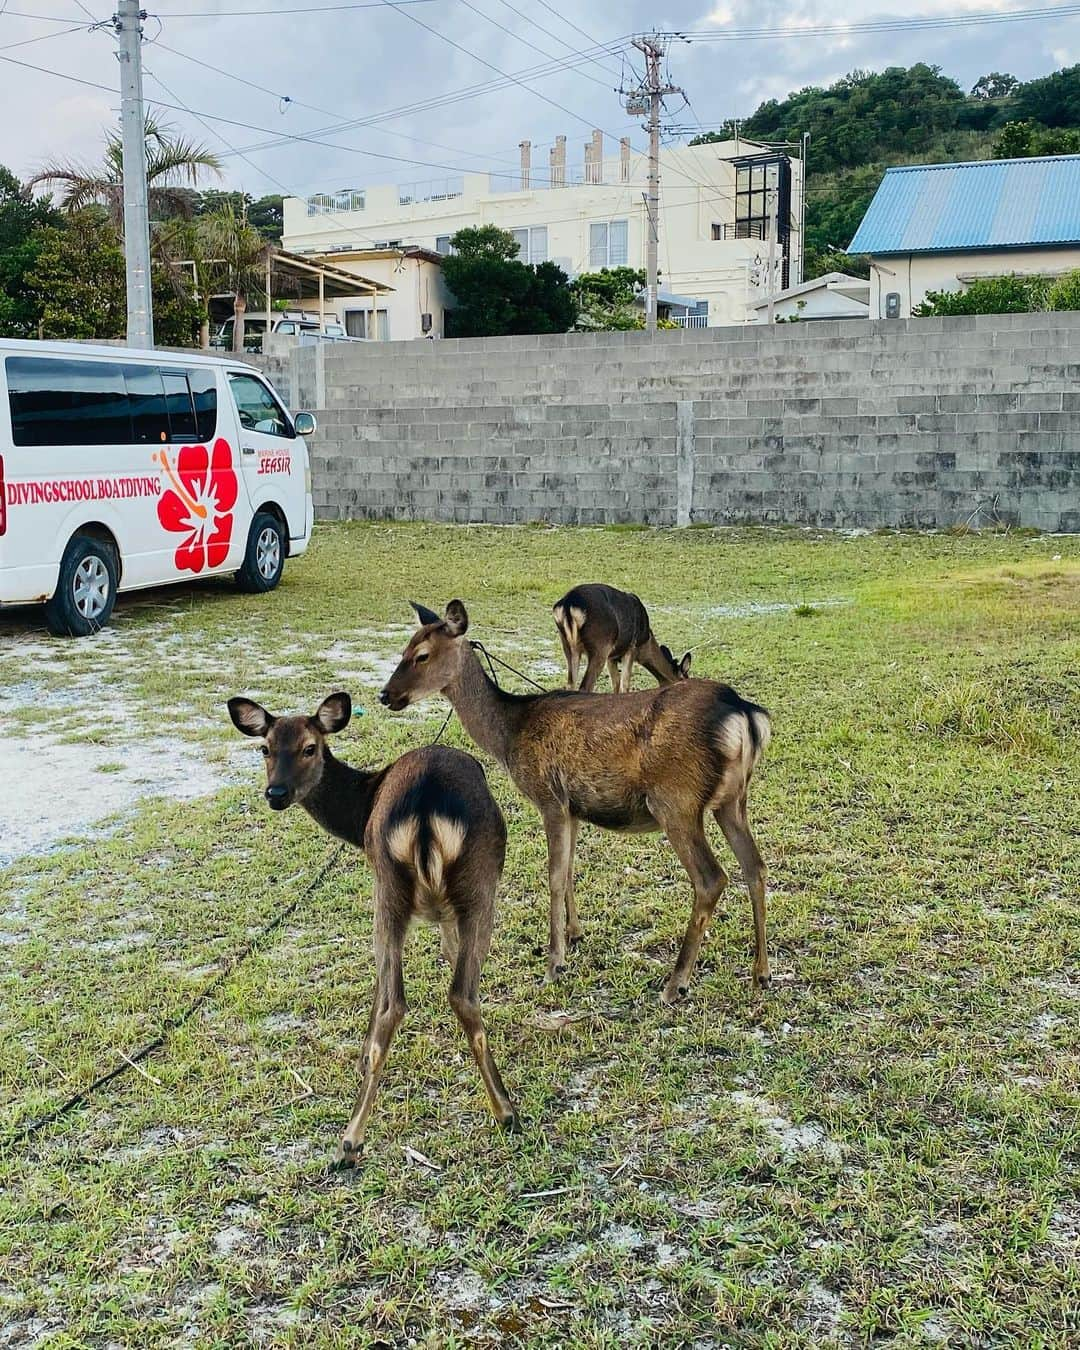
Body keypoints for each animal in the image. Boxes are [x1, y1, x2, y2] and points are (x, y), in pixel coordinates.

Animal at [225, 691, 515, 1166]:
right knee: (449, 994)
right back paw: (502, 1111)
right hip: (473, 884)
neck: (360, 812)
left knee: (403, 1000)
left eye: (310, 747)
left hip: (398, 889)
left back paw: (351, 1138)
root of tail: (426, 809)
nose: (276, 793)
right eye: (264, 749)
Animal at [383, 602, 772, 1004]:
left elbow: (554, 875)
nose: (386, 694)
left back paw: (675, 982)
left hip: (676, 801)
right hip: (732, 800)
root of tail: (745, 715)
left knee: (712, 878)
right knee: (755, 867)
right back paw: (761, 972)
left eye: (422, 654)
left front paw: (554, 963)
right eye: (404, 648)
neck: (509, 735)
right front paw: (574, 934)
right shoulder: (574, 808)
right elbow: (570, 869)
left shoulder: (548, 797)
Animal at [553, 580, 696, 691]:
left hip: (568, 645)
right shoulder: (631, 648)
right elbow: (624, 684)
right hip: (600, 645)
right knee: (585, 686)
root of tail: (568, 604)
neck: (645, 643)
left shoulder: (612, 657)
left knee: (570, 685)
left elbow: (615, 683)